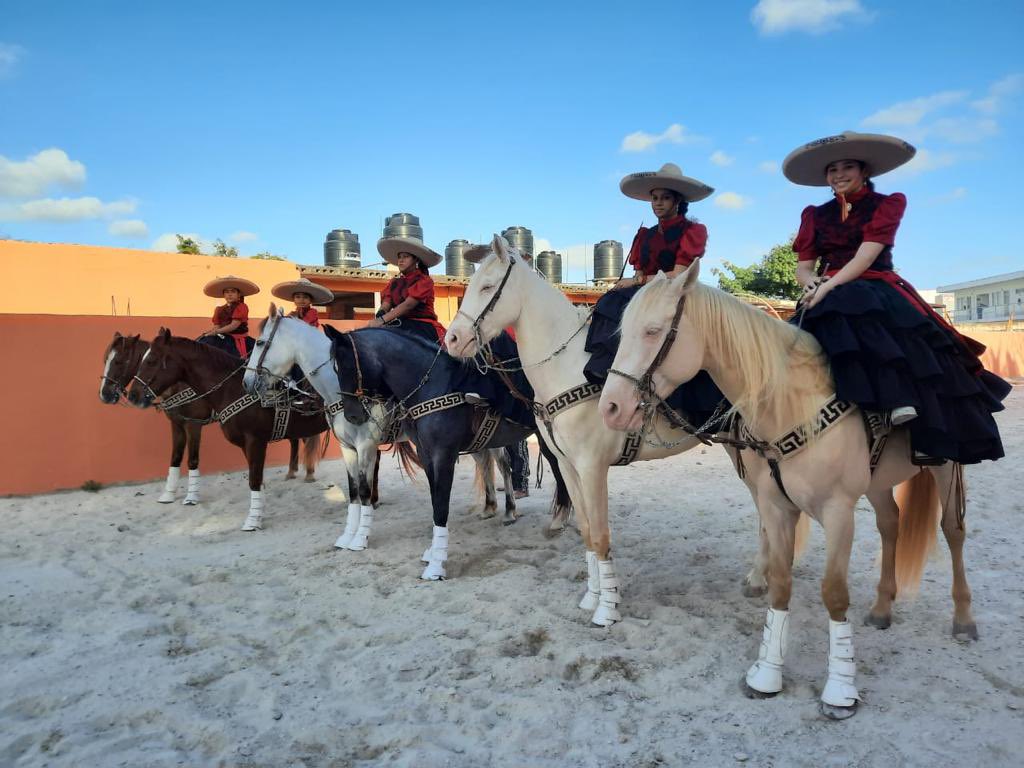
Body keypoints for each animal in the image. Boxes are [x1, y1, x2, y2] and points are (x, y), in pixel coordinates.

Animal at [123, 327, 331, 532]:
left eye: (151, 360)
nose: (133, 395)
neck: (234, 389)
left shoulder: (254, 441)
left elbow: (254, 479)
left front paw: (251, 522)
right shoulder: (243, 444)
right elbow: (257, 480)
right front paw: (257, 516)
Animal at [323, 325, 573, 581]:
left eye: (347, 366)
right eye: (334, 368)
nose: (352, 415)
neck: (432, 386)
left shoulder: (443, 454)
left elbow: (441, 505)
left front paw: (435, 565)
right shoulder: (425, 454)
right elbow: (435, 500)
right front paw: (433, 552)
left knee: (557, 466)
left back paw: (559, 516)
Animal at [598, 266, 974, 720]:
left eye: (653, 331)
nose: (610, 408)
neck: (793, 405)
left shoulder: (838, 512)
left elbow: (834, 594)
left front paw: (840, 690)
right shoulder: (778, 509)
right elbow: (780, 583)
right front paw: (767, 675)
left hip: (946, 466)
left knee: (953, 532)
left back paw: (964, 619)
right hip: (879, 482)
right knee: (890, 525)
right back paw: (883, 608)